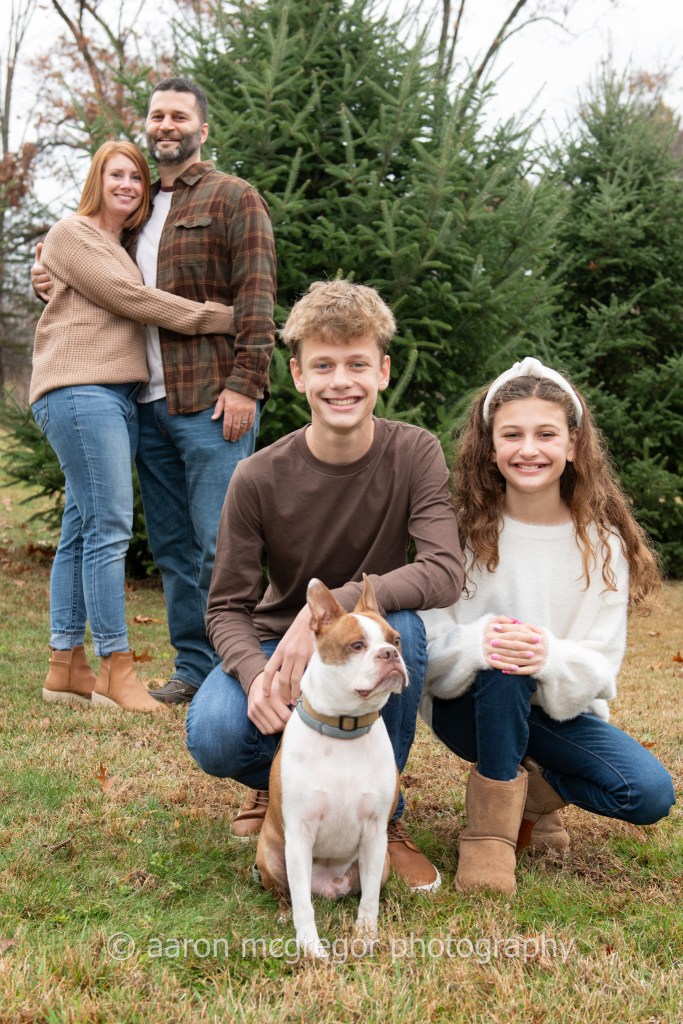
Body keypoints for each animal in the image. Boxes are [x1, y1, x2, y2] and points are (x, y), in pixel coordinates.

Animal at [255, 575, 408, 959]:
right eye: (356, 645)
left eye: (396, 640)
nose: (390, 655)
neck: (345, 728)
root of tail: (329, 888)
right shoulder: (299, 835)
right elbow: (302, 905)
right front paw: (311, 948)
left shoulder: (375, 834)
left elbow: (370, 899)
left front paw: (365, 937)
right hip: (271, 854)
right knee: (289, 894)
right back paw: (284, 914)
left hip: (383, 861)